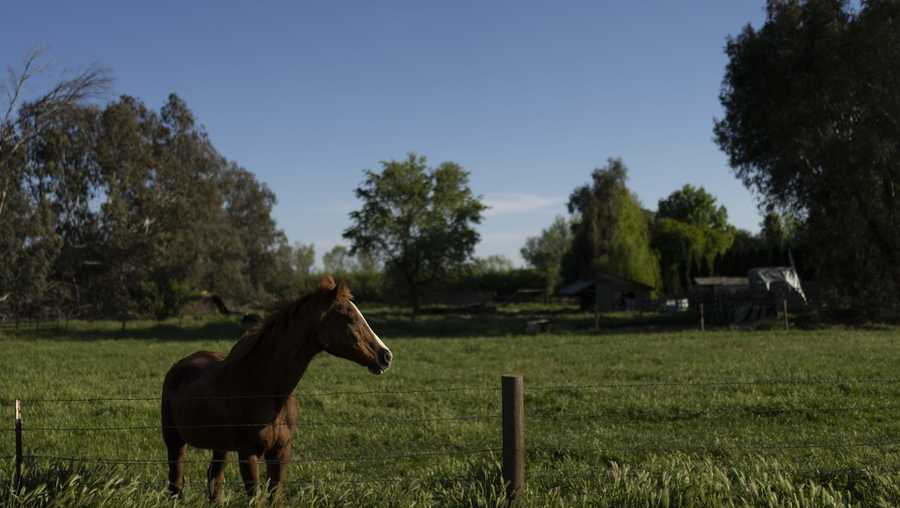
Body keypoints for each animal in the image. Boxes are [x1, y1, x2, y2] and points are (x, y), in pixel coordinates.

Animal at [160, 274, 392, 500]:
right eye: (350, 319)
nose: (386, 356)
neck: (267, 388)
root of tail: (177, 367)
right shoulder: (248, 453)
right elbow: (255, 498)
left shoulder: (280, 452)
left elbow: (275, 495)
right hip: (174, 441)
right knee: (176, 483)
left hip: (220, 447)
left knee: (214, 480)